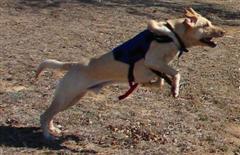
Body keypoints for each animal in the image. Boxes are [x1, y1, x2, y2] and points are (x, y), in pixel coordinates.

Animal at [35, 7, 225, 140]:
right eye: (206, 25)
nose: (223, 31)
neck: (173, 35)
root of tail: (73, 65)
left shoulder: (157, 67)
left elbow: (160, 80)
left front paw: (152, 84)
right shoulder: (153, 60)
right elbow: (176, 73)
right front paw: (175, 89)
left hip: (72, 99)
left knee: (50, 115)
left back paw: (53, 129)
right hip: (66, 98)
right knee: (44, 115)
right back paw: (47, 135)